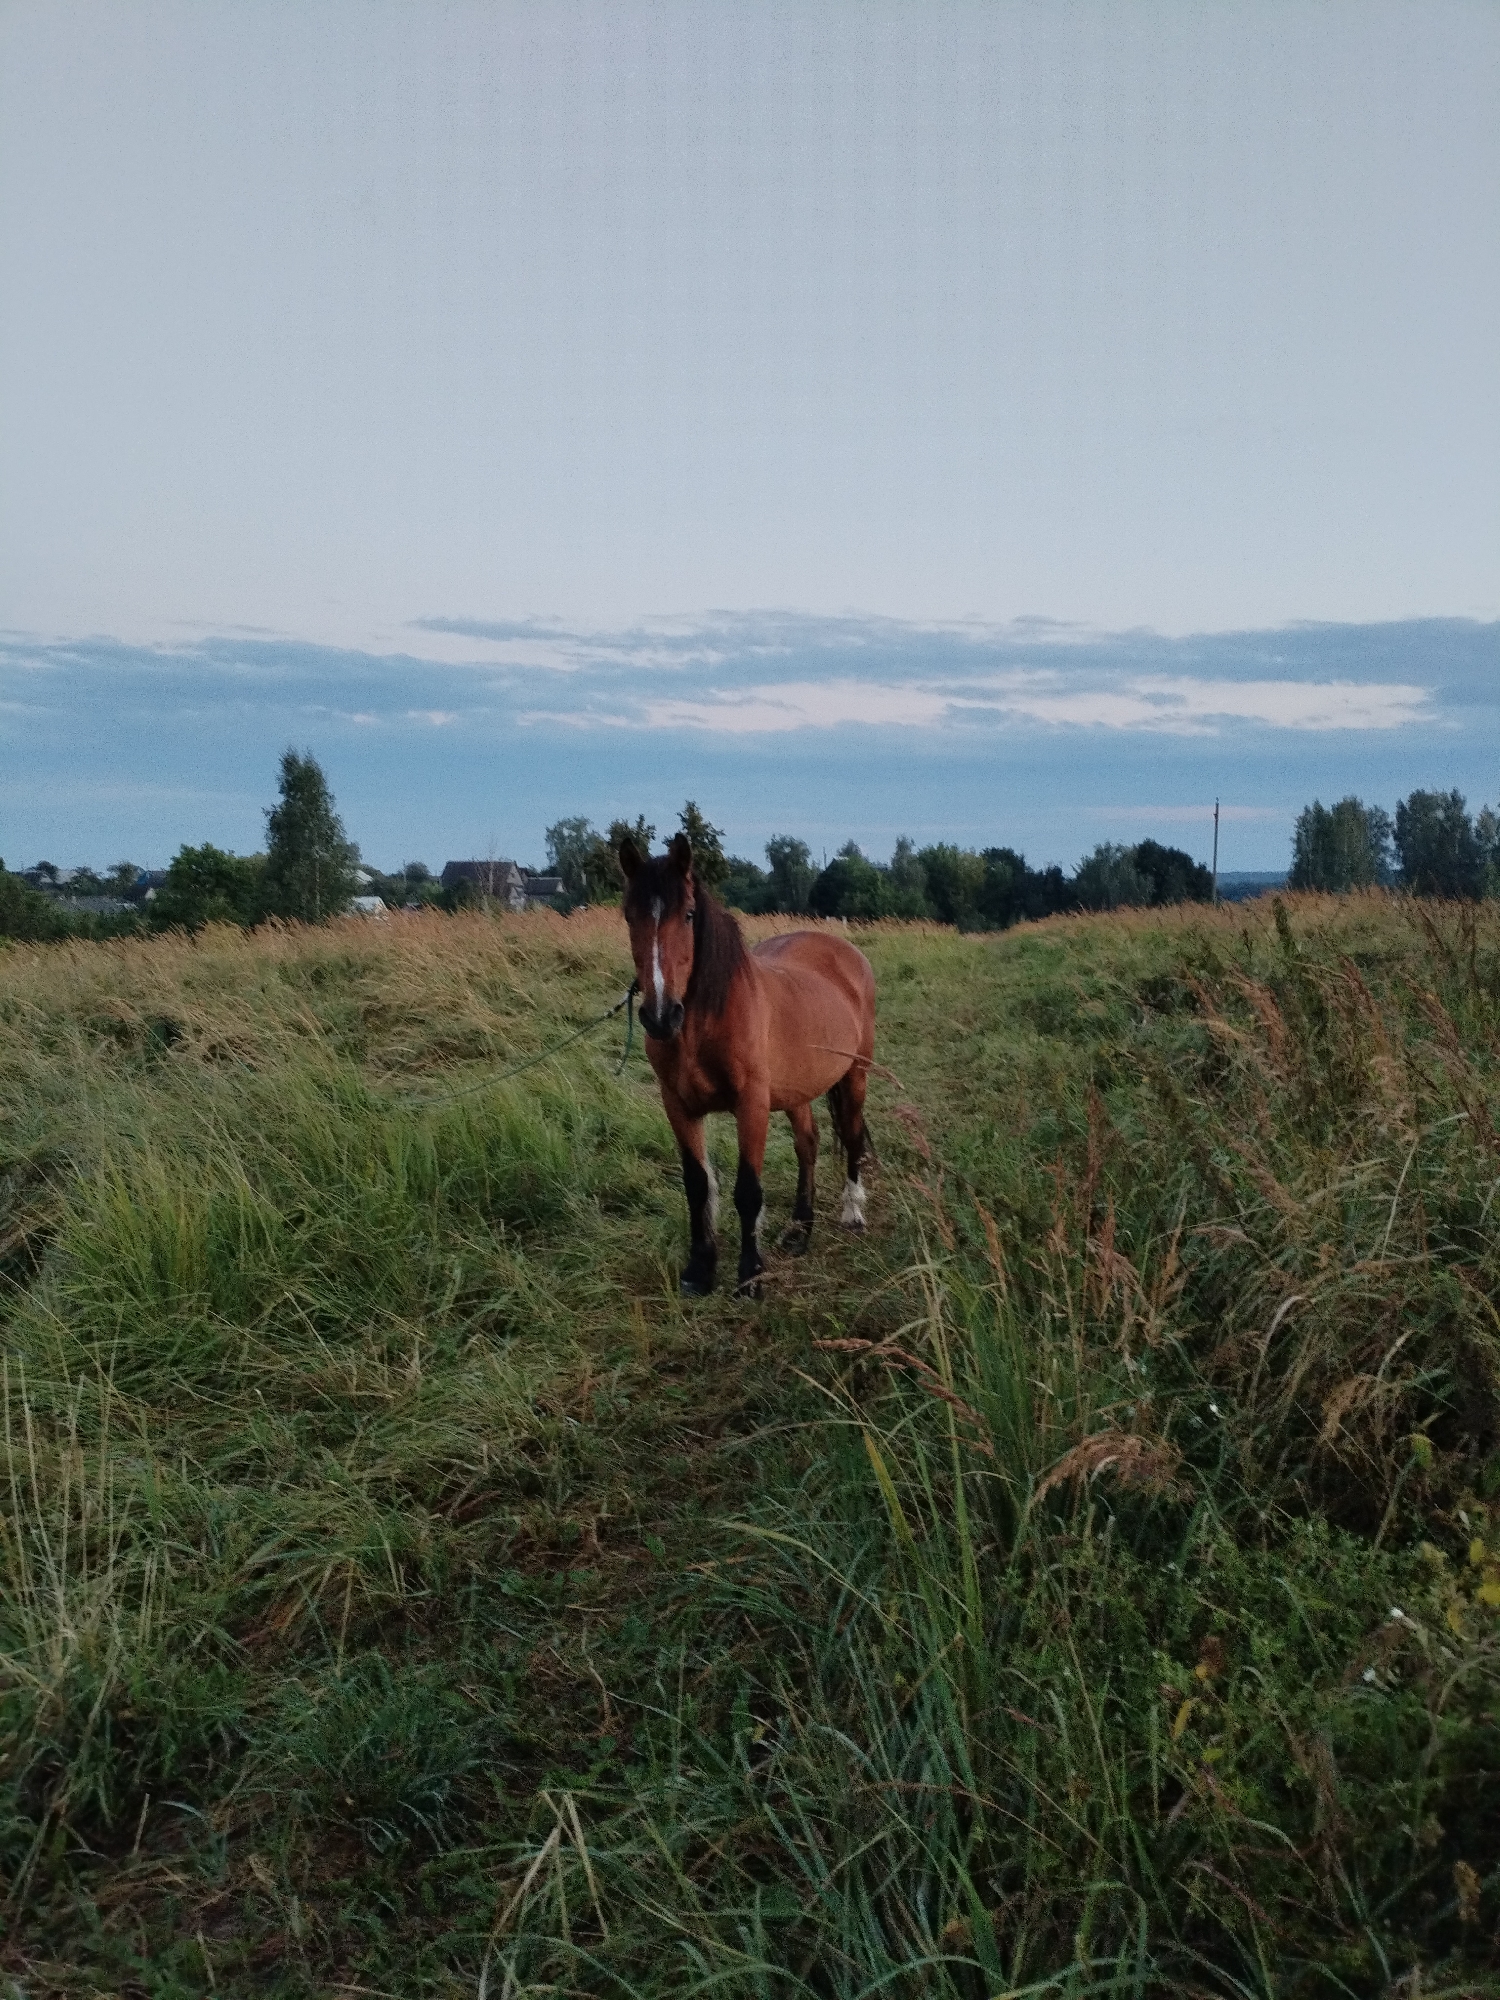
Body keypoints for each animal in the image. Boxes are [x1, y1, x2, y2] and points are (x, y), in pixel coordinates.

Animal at [619, 832, 876, 1296]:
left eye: (688, 915)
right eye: (629, 916)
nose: (661, 1016)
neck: (702, 1024)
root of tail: (848, 954)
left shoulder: (751, 1104)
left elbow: (748, 1190)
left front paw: (750, 1274)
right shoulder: (678, 1106)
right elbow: (698, 1185)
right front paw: (699, 1270)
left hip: (855, 1076)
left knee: (851, 1139)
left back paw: (853, 1213)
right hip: (797, 1089)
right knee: (808, 1145)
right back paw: (799, 1230)